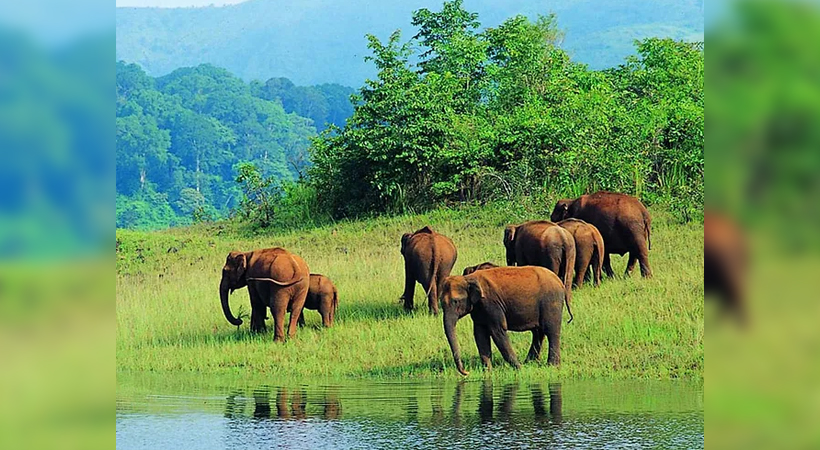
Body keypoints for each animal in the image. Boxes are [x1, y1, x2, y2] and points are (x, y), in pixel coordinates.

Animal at [438, 266, 568, 374]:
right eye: (442, 303)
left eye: (455, 301)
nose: (466, 372)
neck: (467, 278)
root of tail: (560, 282)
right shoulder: (479, 308)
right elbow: (480, 334)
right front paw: (488, 372)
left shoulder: (491, 304)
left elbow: (498, 331)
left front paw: (519, 369)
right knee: (538, 332)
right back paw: (529, 362)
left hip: (551, 302)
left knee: (551, 331)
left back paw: (552, 366)